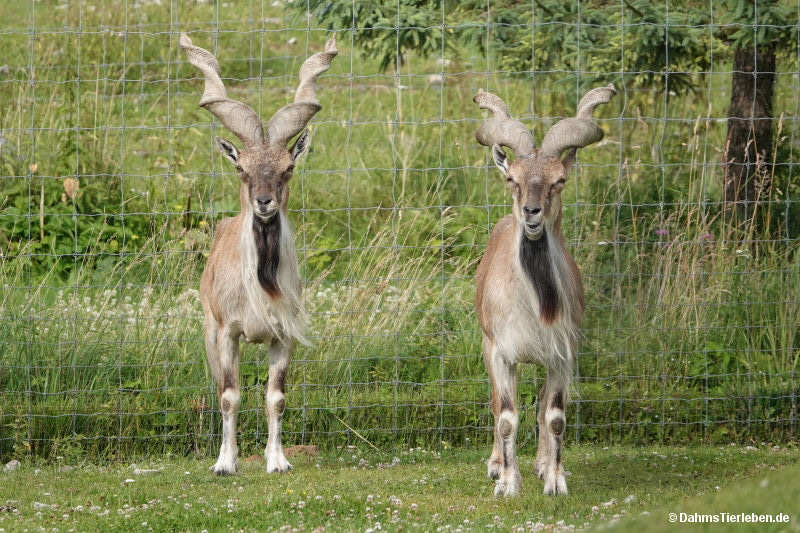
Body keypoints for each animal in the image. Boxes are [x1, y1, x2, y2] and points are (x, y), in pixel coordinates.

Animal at [180, 32, 338, 475]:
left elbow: (276, 397)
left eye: (287, 168)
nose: (264, 203)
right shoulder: (226, 333)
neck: (259, 286)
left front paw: (277, 460)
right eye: (242, 169)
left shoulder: (283, 336)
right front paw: (225, 462)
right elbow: (229, 395)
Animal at [472, 85, 616, 496]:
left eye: (559, 180)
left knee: (538, 408)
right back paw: (495, 464)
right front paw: (507, 483)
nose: (531, 213)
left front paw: (554, 480)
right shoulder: (500, 352)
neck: (533, 305)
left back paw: (540, 464)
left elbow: (553, 416)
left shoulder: (562, 355)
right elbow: (506, 416)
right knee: (496, 405)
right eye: (513, 179)